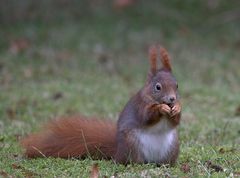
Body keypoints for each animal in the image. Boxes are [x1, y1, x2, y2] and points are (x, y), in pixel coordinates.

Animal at [21, 46, 181, 165]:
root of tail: (117, 152)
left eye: (177, 85)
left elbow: (175, 122)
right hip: (132, 144)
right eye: (158, 87)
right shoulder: (140, 105)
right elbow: (147, 116)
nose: (172, 99)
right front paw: (161, 108)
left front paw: (178, 108)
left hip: (172, 146)